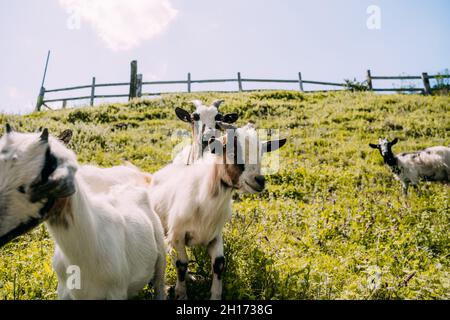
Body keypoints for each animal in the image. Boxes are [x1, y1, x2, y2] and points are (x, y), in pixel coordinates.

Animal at [149, 121, 286, 298]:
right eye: (233, 152)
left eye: (261, 154)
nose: (260, 180)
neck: (205, 200)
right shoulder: (178, 233)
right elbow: (182, 263)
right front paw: (181, 293)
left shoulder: (215, 235)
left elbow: (219, 263)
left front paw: (215, 295)